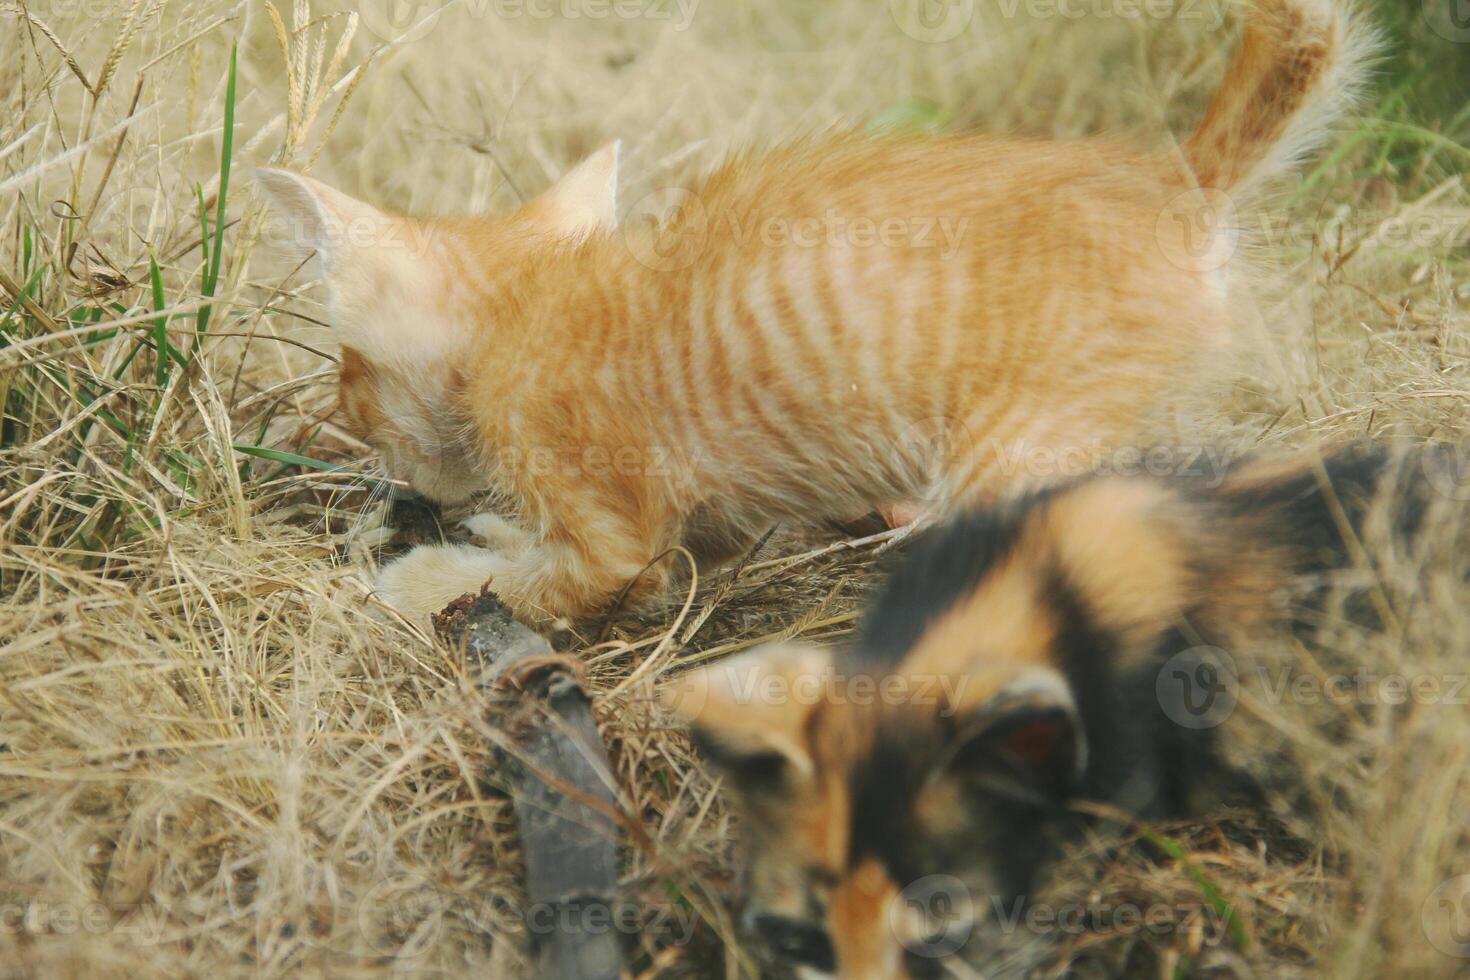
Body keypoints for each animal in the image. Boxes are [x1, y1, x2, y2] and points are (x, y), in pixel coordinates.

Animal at [258, 0, 1370, 628]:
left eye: (350, 380)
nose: (342, 421)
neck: (528, 312)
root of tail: (1175, 179)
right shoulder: (700, 535)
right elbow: (646, 560)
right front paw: (485, 529)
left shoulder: (611, 521)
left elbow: (533, 583)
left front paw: (408, 581)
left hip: (1017, 443)